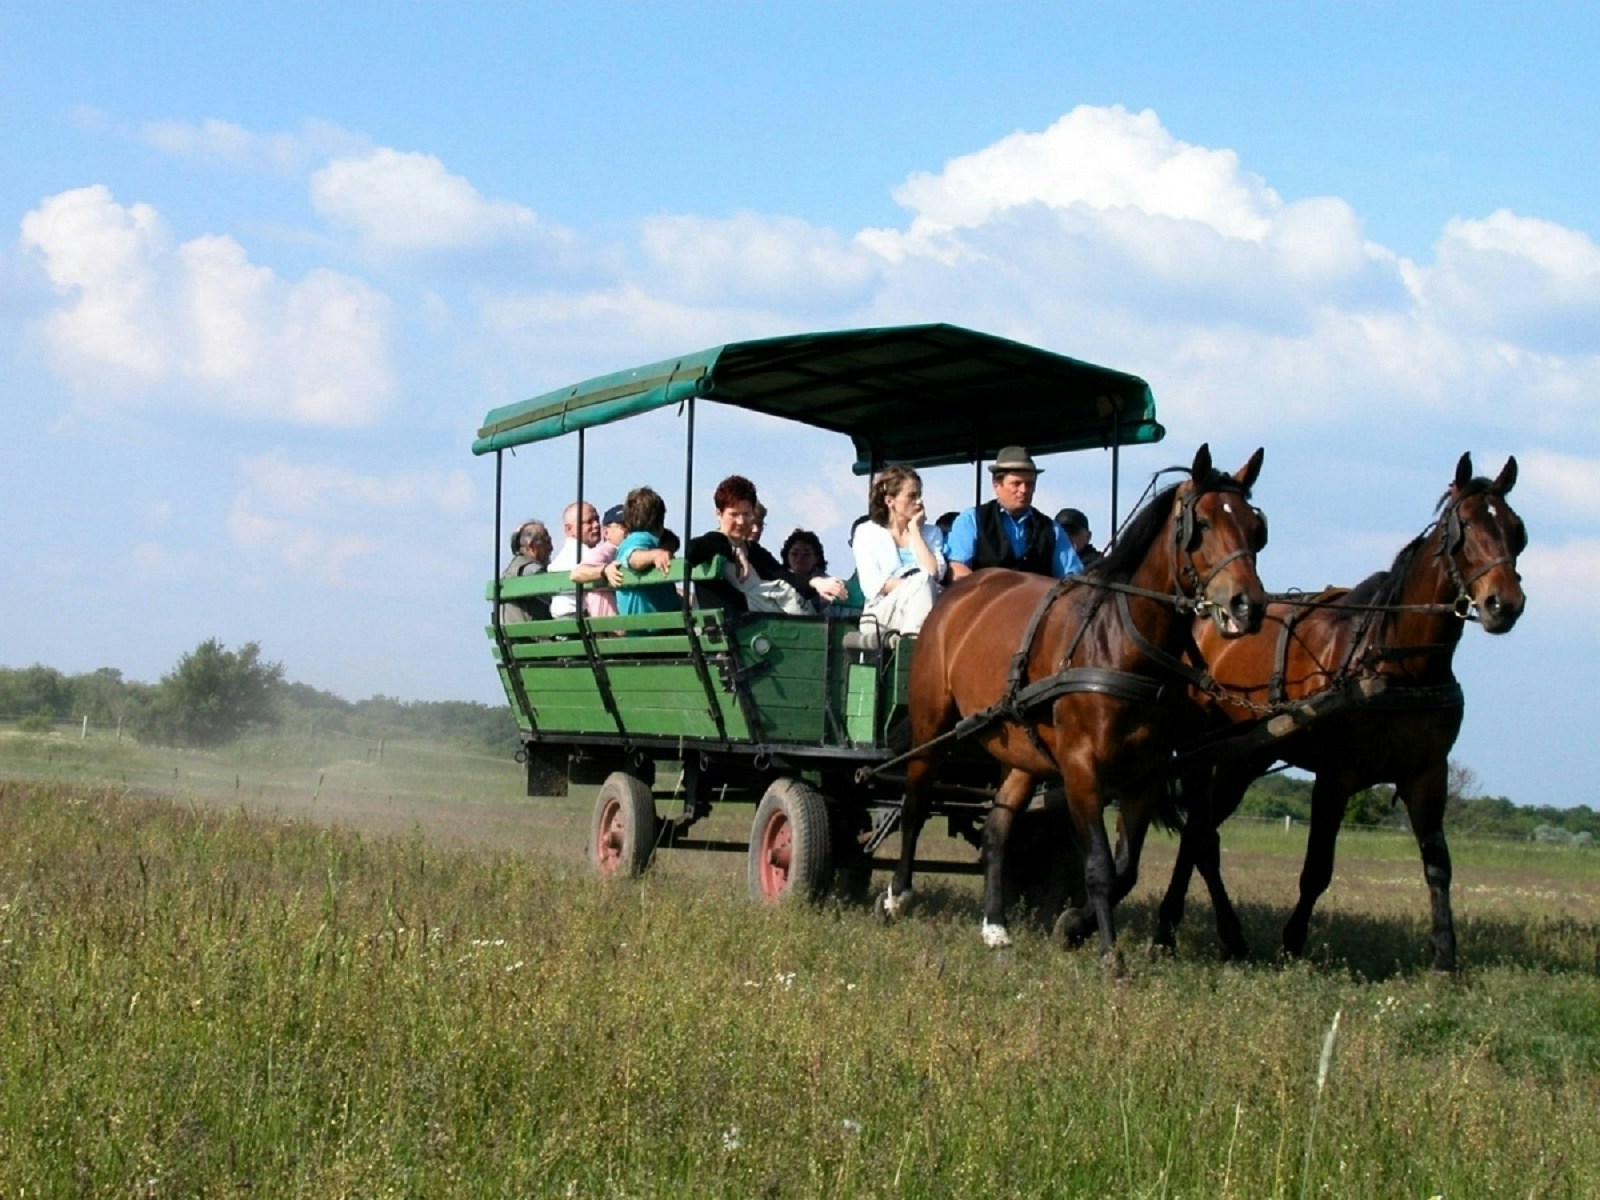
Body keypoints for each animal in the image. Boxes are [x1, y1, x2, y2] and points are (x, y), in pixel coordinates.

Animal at [878, 444, 1270, 960]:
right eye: (1201, 523)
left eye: (1255, 527)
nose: (1248, 605)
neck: (1120, 642)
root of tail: (957, 594)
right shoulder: (1082, 767)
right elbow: (1100, 865)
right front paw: (1108, 954)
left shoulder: (1145, 775)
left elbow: (1126, 869)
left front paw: (1073, 926)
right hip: (931, 725)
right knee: (916, 802)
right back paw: (897, 896)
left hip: (1022, 751)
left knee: (998, 830)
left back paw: (995, 924)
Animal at [1156, 453, 1526, 971]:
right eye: (1466, 526)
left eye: (1516, 529)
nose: (1504, 603)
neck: (1399, 660)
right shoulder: (1336, 775)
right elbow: (1317, 869)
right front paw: (1292, 944)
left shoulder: (1427, 774)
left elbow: (1438, 865)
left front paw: (1444, 956)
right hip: (1205, 754)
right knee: (1200, 834)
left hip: (1241, 759)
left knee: (1197, 832)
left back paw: (1174, 928)